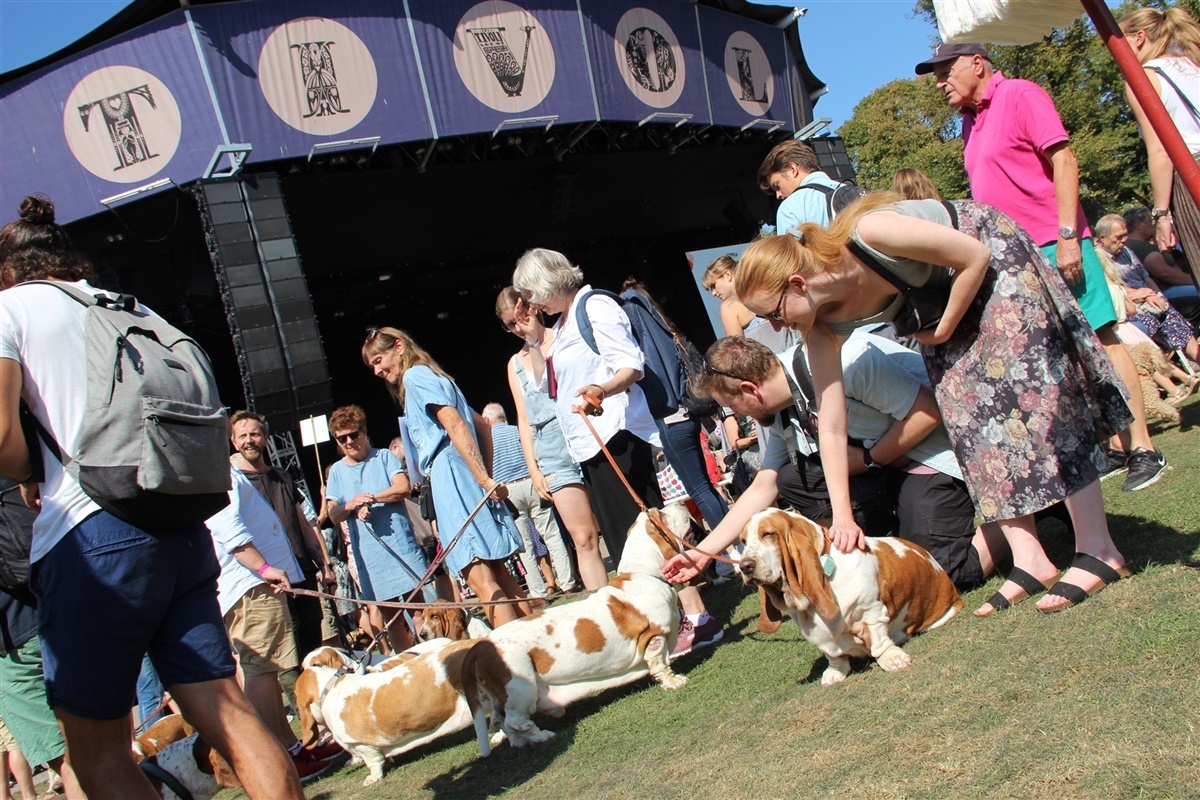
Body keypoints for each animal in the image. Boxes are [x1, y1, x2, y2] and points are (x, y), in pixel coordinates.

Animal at [296, 642, 482, 786]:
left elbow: (373, 761)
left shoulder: (364, 745)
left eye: (316, 663)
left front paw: (373, 777)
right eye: (303, 666)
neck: (332, 684)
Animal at [458, 506, 696, 753]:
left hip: (500, 696)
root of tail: (480, 647)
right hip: (519, 688)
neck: (643, 573)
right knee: (514, 721)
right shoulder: (654, 637)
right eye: (662, 515)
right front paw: (674, 682)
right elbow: (660, 663)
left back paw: (518, 741)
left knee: (500, 720)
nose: (680, 503)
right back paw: (541, 736)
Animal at [739, 510, 964, 686]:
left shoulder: (871, 610)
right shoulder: (821, 637)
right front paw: (835, 673)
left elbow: (879, 640)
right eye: (743, 541)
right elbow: (833, 655)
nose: (744, 566)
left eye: (768, 534)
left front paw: (892, 659)